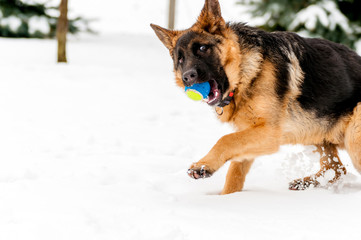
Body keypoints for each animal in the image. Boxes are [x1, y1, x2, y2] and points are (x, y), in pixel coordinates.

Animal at [150, 0, 360, 193]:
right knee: (336, 169)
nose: (188, 77)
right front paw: (227, 198)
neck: (245, 74)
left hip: (352, 138)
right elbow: (234, 172)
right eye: (180, 59)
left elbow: (225, 140)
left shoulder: (268, 133)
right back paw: (305, 183)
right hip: (313, 131)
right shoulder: (250, 133)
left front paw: (203, 165)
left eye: (202, 49)